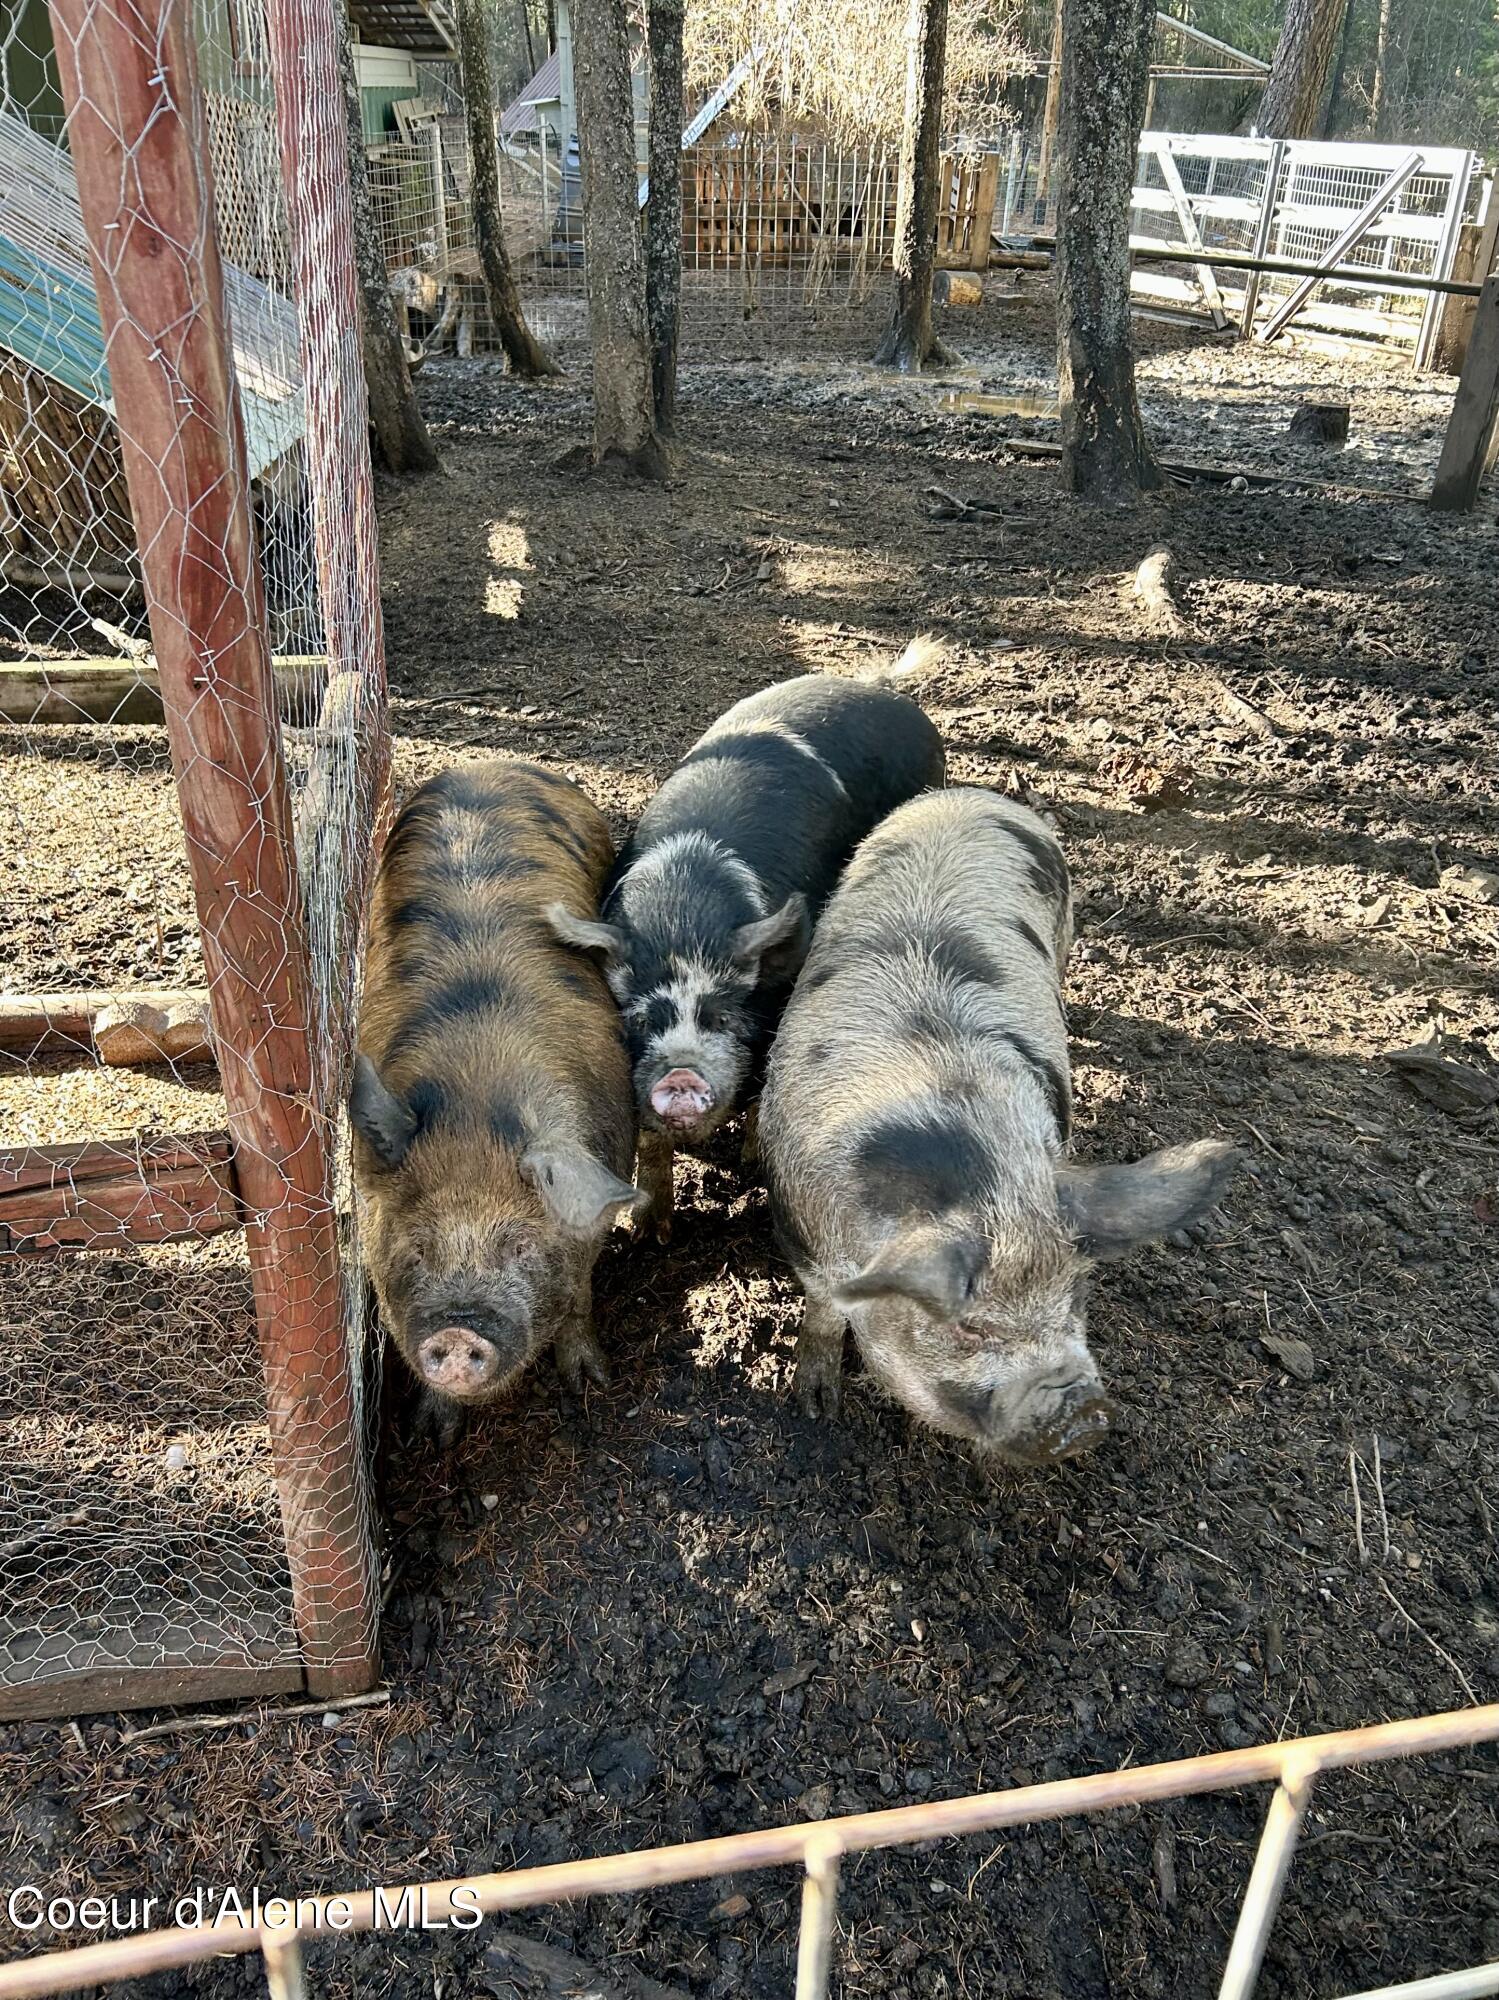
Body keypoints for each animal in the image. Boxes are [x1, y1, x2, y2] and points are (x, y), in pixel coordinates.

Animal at [350, 762, 641, 1445]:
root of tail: (493, 765)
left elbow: (580, 1293)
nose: (459, 1332)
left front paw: (590, 1382)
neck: (476, 1100)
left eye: (520, 1247)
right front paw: (435, 1435)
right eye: (416, 1247)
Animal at [546, 649, 947, 1236]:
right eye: (642, 1021)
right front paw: (652, 1233)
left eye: (722, 1017)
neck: (682, 920)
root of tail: (879, 688)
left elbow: (765, 1084)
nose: (681, 1074)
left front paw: (753, 1161)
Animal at [760, 787, 1238, 1465]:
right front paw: (817, 1406)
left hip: (1065, 929)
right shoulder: (799, 1229)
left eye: (1077, 1294)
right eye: (969, 1326)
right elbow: (824, 1312)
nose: (1085, 1415)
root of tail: (971, 794)